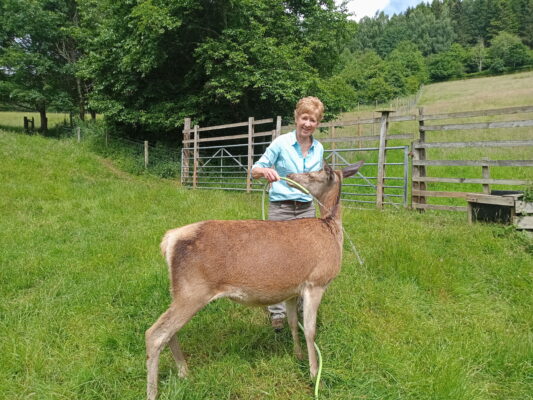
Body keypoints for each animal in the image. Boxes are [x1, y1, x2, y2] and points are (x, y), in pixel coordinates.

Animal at [144, 160, 362, 400]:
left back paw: (184, 372)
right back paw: (153, 391)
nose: (291, 175)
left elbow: (293, 323)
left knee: (169, 331)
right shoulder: (317, 281)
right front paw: (315, 377)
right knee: (154, 333)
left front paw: (298, 356)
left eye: (314, 174)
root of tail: (168, 240)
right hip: (193, 290)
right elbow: (310, 330)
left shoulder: (293, 289)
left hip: (179, 290)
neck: (332, 230)